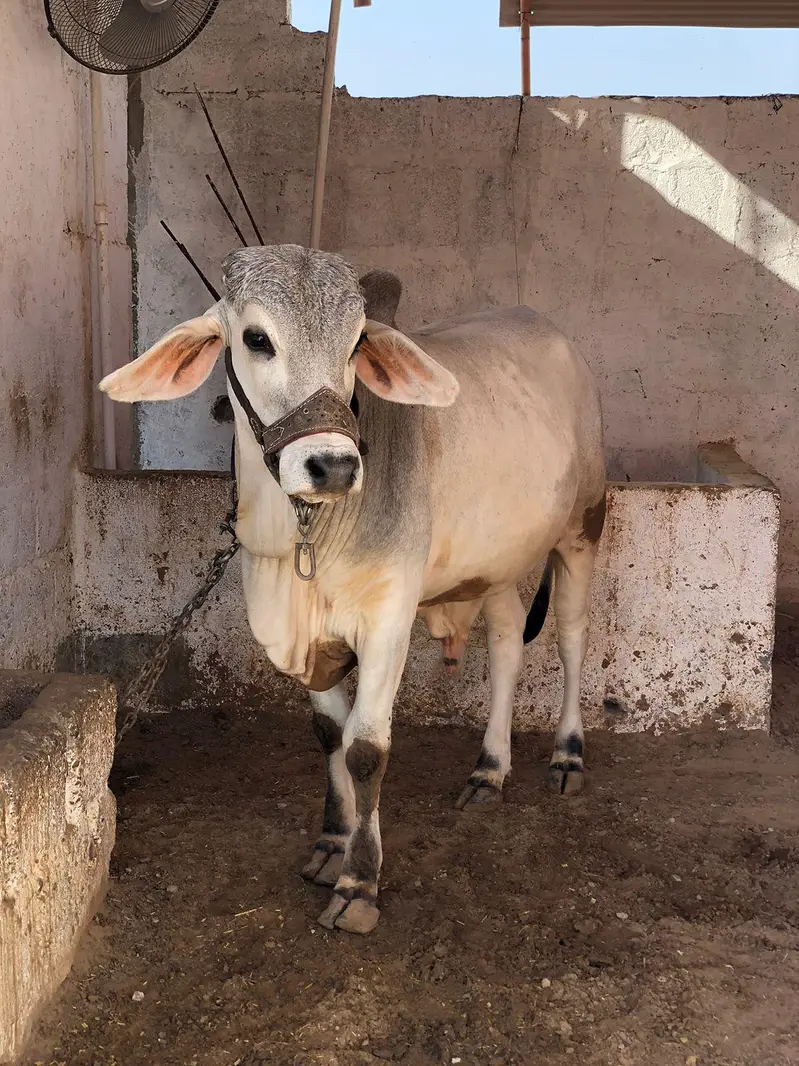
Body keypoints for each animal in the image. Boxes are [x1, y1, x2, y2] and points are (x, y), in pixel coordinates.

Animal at [100, 245, 606, 936]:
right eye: (256, 338)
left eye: (356, 343)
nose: (334, 466)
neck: (300, 539)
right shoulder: (300, 640)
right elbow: (330, 735)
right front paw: (331, 842)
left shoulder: (388, 619)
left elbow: (366, 748)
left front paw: (359, 882)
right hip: (496, 564)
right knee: (506, 646)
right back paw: (489, 769)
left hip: (583, 528)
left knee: (572, 641)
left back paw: (567, 755)